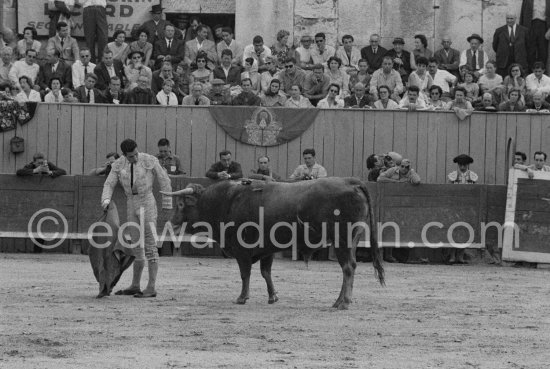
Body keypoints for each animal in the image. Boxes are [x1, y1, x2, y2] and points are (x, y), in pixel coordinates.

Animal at [164, 177, 386, 310]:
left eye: (181, 204)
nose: (171, 223)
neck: (227, 200)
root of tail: (351, 182)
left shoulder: (241, 250)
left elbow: (245, 274)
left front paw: (242, 297)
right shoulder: (266, 250)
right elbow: (266, 273)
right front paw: (273, 297)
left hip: (342, 241)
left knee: (348, 268)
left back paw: (343, 302)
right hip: (353, 240)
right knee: (351, 266)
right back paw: (339, 301)